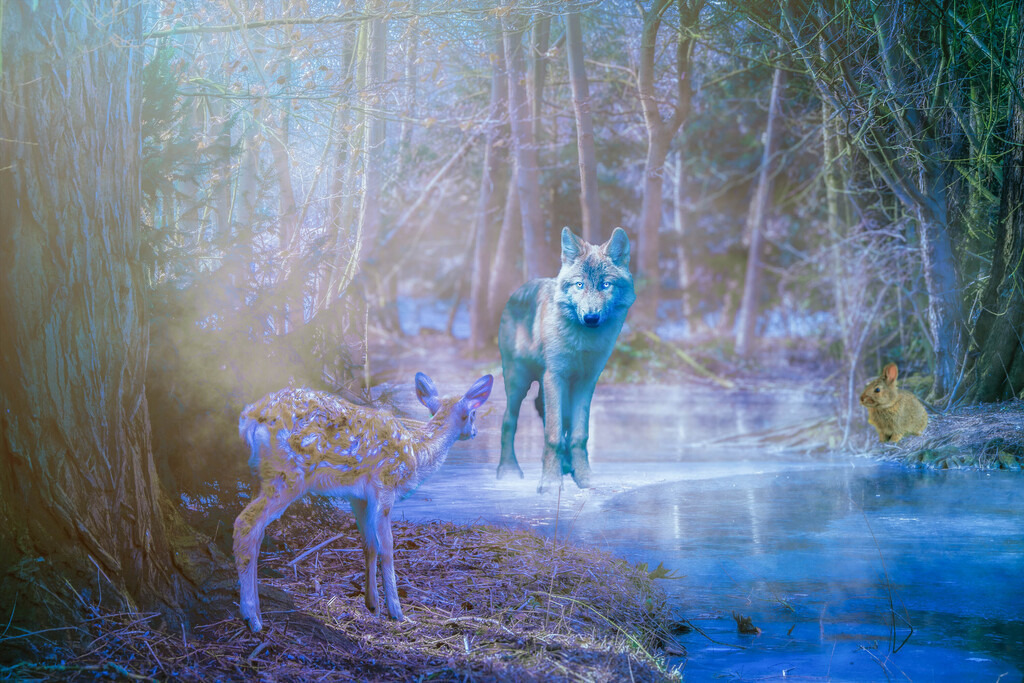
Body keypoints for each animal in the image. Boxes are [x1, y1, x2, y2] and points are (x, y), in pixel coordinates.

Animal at [233, 372, 493, 633]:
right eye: (473, 413)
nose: (475, 431)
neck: (418, 452)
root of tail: (251, 418)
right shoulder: (385, 484)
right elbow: (387, 546)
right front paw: (396, 611)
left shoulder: (358, 496)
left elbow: (369, 543)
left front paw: (372, 604)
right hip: (288, 475)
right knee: (245, 523)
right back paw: (252, 617)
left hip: (260, 476)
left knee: (255, 532)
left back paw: (257, 608)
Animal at [497, 226, 636, 491]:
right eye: (579, 284)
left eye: (605, 284)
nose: (591, 317)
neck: (582, 342)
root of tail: (514, 293)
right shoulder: (555, 376)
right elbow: (552, 435)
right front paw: (550, 483)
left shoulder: (586, 382)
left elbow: (579, 435)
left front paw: (584, 478)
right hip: (518, 381)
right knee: (509, 420)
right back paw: (508, 470)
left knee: (556, 417)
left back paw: (566, 465)